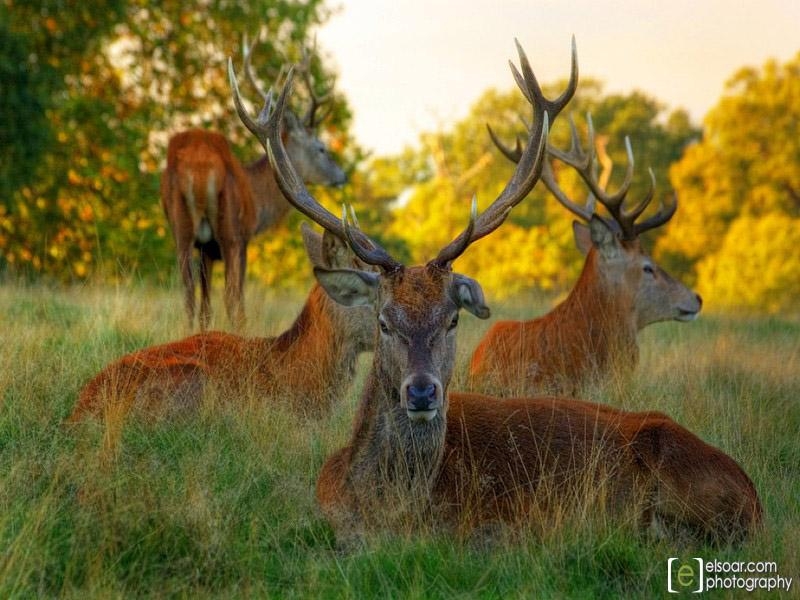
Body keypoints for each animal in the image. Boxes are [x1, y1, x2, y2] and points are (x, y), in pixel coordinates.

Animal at [161, 39, 346, 330]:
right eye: (322, 148)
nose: (342, 175)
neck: (259, 200)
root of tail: (199, 165)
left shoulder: (206, 249)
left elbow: (205, 304)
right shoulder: (244, 236)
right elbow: (235, 296)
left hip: (181, 228)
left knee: (188, 293)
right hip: (230, 230)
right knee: (232, 297)